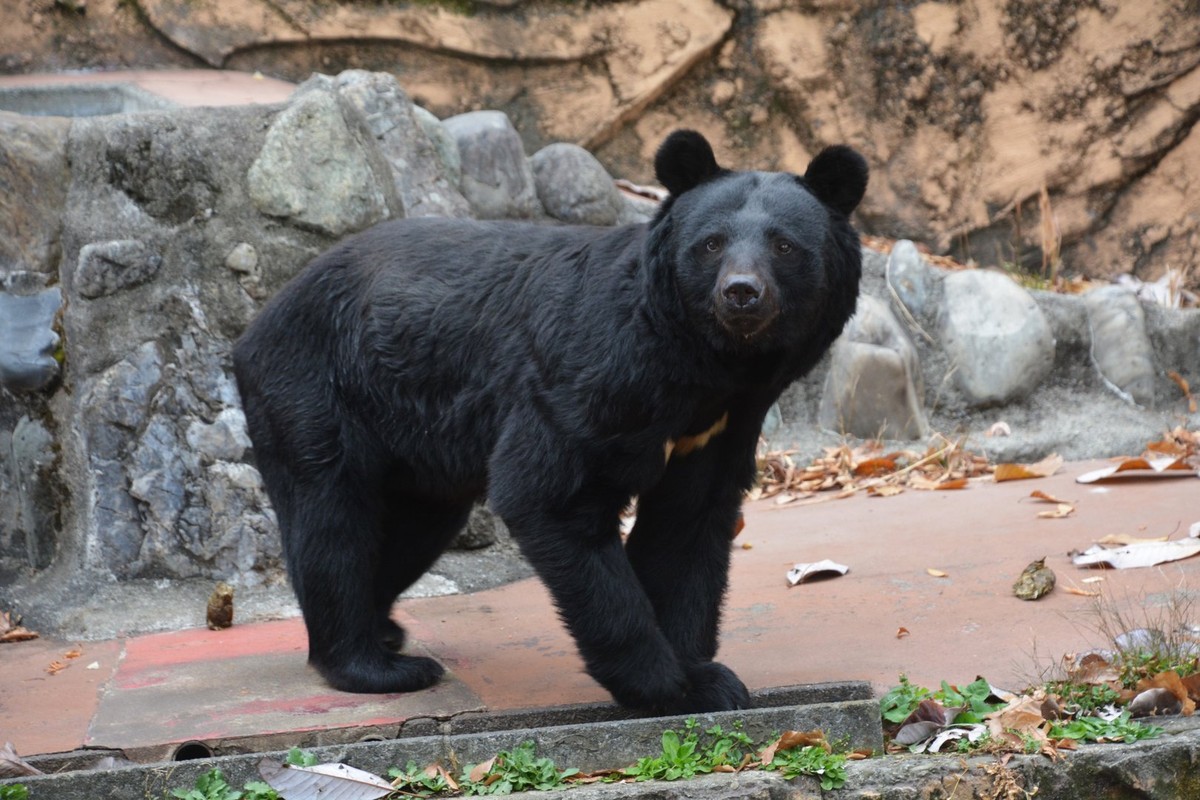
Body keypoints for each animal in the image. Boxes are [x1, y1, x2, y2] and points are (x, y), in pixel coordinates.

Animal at [234, 130, 868, 714]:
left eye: (785, 246)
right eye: (710, 244)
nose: (741, 293)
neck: (706, 364)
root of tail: (258, 322)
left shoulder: (719, 426)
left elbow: (689, 524)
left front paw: (705, 678)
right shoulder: (593, 376)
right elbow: (552, 494)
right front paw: (664, 685)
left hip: (416, 442)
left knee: (412, 526)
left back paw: (385, 631)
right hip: (318, 389)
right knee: (332, 520)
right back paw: (374, 664)